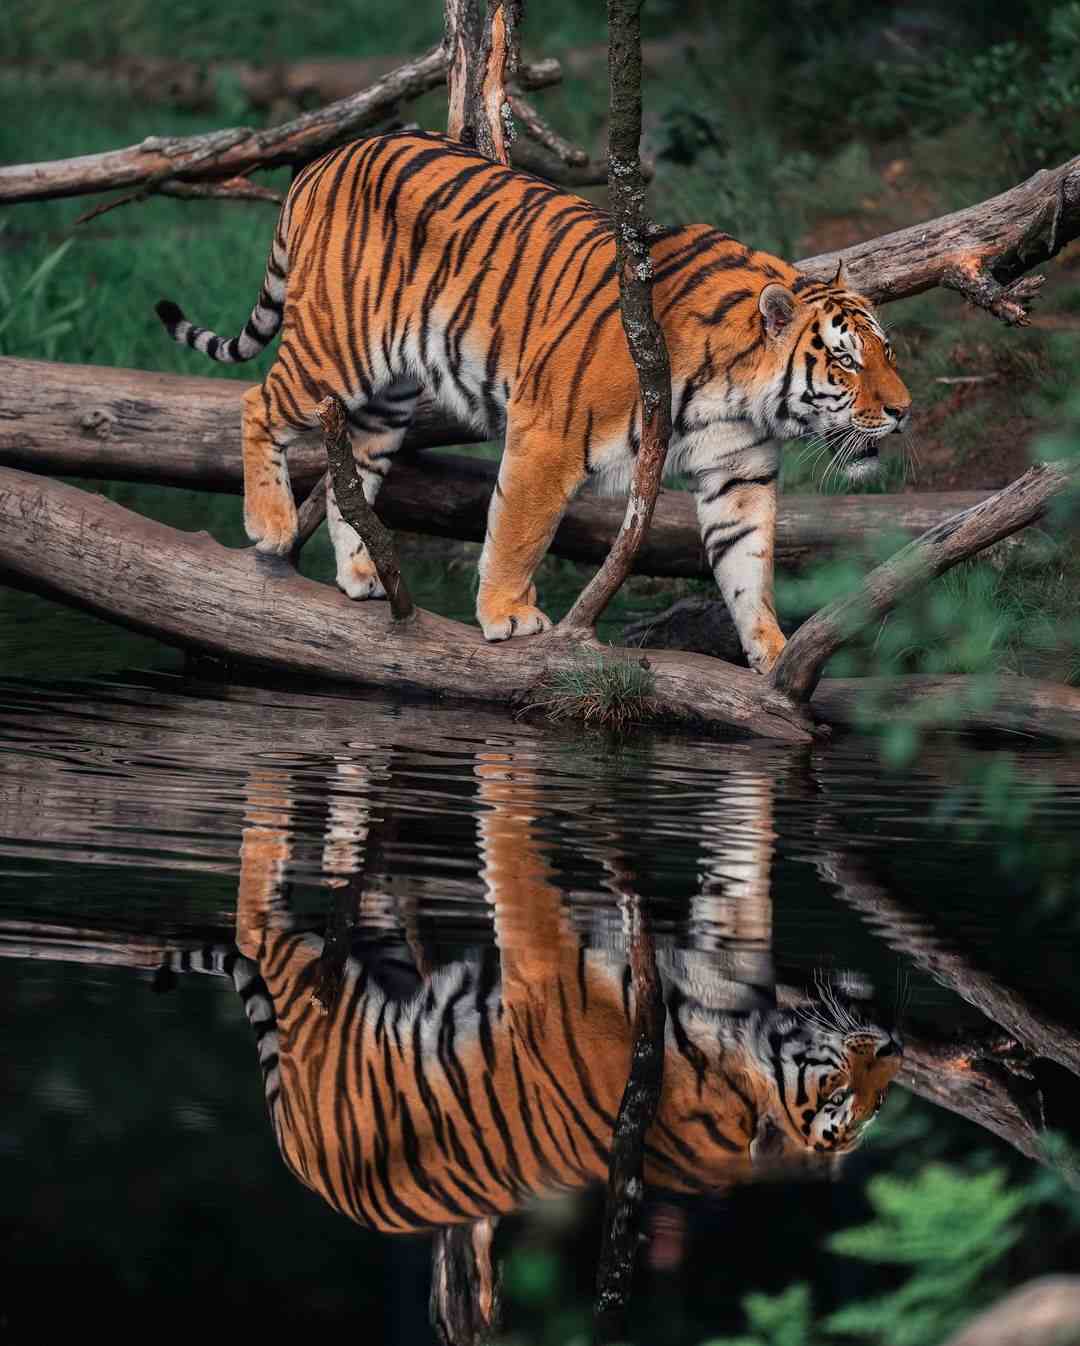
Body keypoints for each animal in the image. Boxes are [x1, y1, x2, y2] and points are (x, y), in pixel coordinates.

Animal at [156, 129, 911, 674]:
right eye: (845, 361)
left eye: (888, 352)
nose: (903, 411)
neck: (741, 394)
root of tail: (326, 158)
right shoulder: (549, 434)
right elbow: (520, 531)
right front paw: (507, 617)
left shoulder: (740, 475)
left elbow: (748, 567)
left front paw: (773, 654)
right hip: (333, 351)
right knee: (255, 403)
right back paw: (271, 524)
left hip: (385, 398)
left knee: (355, 473)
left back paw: (365, 573)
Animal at [211, 752, 903, 1234]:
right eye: (847, 1096)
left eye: (864, 1102)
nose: (893, 1049)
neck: (727, 1051)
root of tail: (298, 1155)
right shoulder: (722, 953)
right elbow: (745, 861)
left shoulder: (545, 966)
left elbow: (512, 861)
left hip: (309, 980)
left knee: (255, 922)